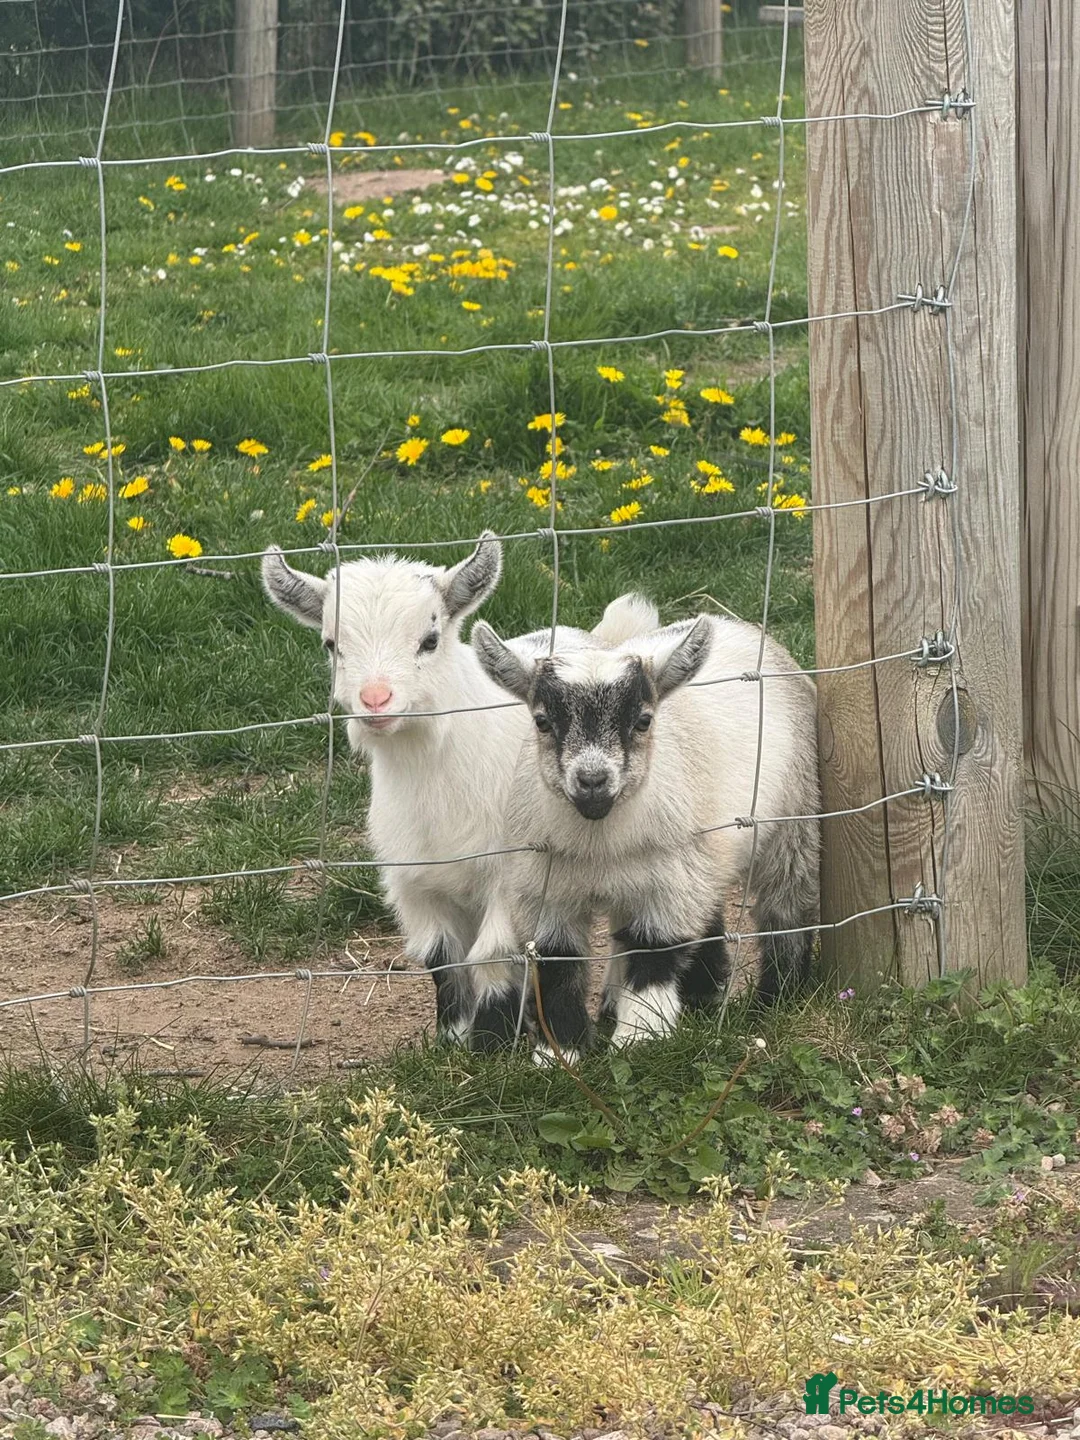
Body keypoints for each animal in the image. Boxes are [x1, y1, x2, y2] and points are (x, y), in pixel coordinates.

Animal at [261, 532, 658, 1047]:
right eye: (332, 644)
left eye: (430, 640)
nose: (375, 700)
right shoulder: (412, 881)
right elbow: (441, 958)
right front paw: (452, 1037)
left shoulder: (509, 875)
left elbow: (491, 955)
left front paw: (491, 1043)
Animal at [469, 612, 820, 1055]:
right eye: (542, 722)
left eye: (643, 721)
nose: (593, 781)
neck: (598, 841)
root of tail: (733, 623)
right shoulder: (542, 892)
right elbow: (557, 966)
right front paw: (558, 1052)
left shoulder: (670, 886)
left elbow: (654, 953)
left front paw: (639, 1041)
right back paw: (699, 993)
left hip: (795, 816)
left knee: (786, 904)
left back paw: (777, 996)